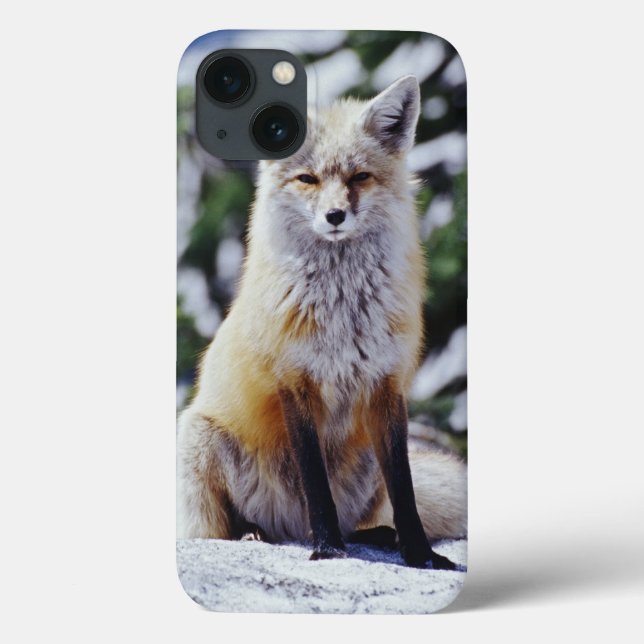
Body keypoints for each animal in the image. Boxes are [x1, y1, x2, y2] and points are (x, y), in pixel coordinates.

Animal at [177, 75, 467, 569]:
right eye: (308, 179)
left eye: (359, 177)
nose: (335, 216)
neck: (343, 313)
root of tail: (290, 528)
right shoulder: (294, 381)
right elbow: (316, 485)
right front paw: (328, 549)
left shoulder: (387, 384)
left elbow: (406, 490)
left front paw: (420, 553)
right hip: (197, 437)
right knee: (223, 526)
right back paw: (255, 532)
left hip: (366, 464)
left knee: (366, 517)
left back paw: (379, 535)